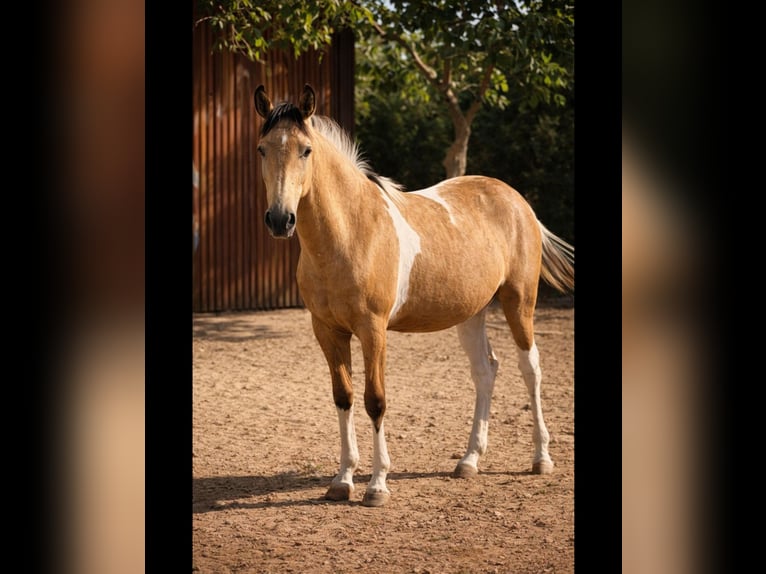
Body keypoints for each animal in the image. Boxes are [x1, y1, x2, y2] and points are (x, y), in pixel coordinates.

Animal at [253, 84, 574, 507]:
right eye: (262, 149)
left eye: (306, 150)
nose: (279, 220)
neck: (352, 231)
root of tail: (518, 202)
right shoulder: (327, 330)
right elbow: (344, 397)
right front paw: (342, 480)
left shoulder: (373, 330)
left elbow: (375, 399)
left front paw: (377, 486)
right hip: (472, 313)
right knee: (485, 371)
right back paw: (469, 461)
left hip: (519, 302)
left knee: (530, 369)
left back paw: (541, 458)